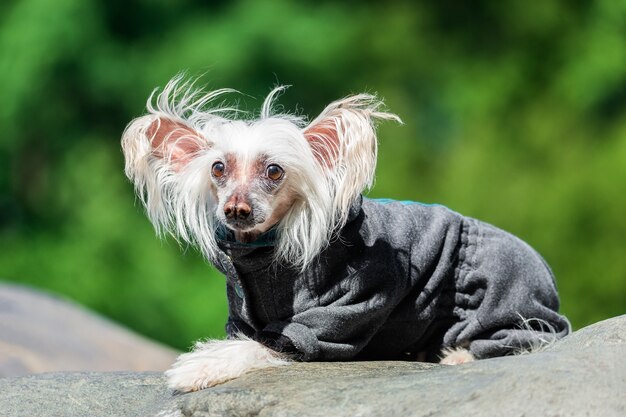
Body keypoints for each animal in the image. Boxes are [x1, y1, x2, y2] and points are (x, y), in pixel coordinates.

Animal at [119, 76, 568, 392]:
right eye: (218, 168)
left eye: (274, 170)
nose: (236, 209)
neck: (262, 257)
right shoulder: (243, 316)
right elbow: (246, 337)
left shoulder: (338, 315)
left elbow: (261, 345)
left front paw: (201, 366)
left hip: (501, 303)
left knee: (524, 340)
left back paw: (459, 356)